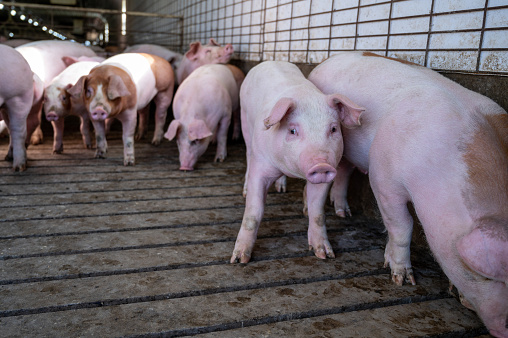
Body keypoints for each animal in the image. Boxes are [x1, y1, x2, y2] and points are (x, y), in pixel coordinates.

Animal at [0, 44, 34, 172]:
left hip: (18, 97)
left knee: (18, 131)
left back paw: (18, 167)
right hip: (5, 107)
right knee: (10, 129)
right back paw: (8, 157)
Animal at [230, 62, 366, 266]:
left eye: (334, 129)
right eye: (292, 130)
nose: (321, 165)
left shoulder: (326, 175)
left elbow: (318, 212)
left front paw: (324, 254)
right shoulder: (260, 166)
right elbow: (254, 212)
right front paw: (239, 259)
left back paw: (282, 188)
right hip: (245, 121)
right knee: (247, 153)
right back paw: (246, 190)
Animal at [308, 50, 506, 338]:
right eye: (487, 276)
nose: (505, 329)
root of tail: (323, 62)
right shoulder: (383, 177)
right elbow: (403, 225)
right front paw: (402, 280)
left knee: (344, 171)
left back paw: (344, 213)